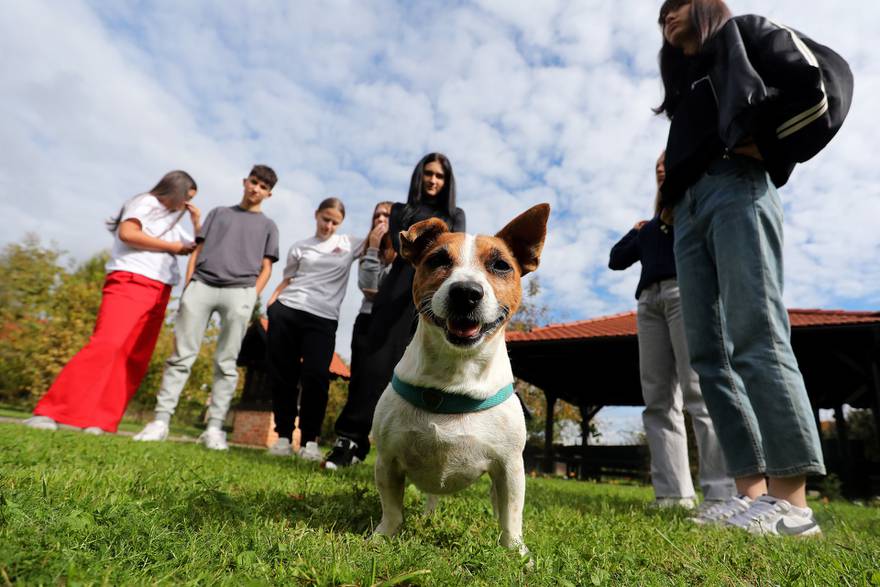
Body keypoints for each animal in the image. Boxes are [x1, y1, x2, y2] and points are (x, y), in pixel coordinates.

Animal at [370, 203, 552, 556]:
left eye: (500, 265)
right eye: (437, 260)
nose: (466, 292)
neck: (455, 373)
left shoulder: (510, 468)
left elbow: (512, 515)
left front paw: (516, 552)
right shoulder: (387, 460)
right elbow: (392, 508)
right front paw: (383, 536)